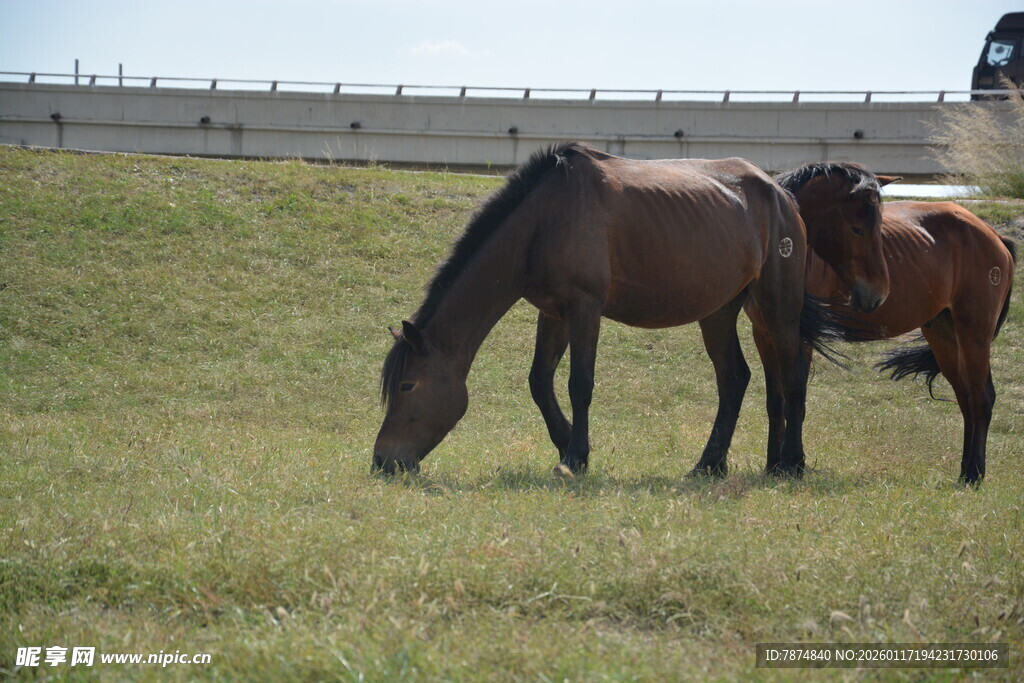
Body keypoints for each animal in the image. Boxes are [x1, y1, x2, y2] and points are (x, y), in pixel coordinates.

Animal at [374, 142, 886, 479]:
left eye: (407, 385)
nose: (383, 461)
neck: (545, 218)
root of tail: (782, 196)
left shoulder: (584, 308)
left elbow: (579, 383)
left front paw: (576, 456)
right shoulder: (554, 312)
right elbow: (540, 382)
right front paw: (566, 444)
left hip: (777, 305)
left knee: (792, 376)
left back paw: (790, 464)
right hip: (720, 311)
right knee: (736, 379)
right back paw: (711, 464)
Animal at [778, 163, 1017, 484]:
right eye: (857, 229)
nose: (877, 294)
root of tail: (993, 235)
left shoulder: (801, 333)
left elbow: (795, 391)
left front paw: (792, 462)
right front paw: (781, 462)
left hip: (974, 335)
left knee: (982, 398)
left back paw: (974, 473)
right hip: (944, 336)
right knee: (966, 399)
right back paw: (965, 470)